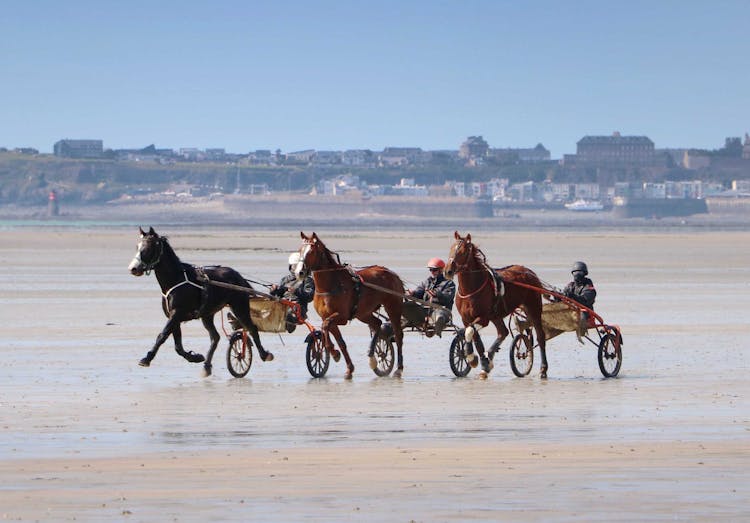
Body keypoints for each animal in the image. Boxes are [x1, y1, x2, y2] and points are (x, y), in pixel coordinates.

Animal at [128, 227, 274, 374]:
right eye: (137, 247)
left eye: (148, 247)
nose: (133, 268)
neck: (176, 280)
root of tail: (239, 276)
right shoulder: (173, 316)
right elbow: (178, 345)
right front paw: (195, 357)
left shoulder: (177, 313)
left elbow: (162, 335)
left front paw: (146, 359)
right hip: (207, 314)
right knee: (215, 337)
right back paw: (207, 366)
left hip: (239, 306)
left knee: (252, 328)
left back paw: (264, 354)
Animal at [294, 231, 406, 378]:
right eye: (300, 250)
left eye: (311, 251)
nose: (299, 272)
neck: (331, 283)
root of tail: (393, 275)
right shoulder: (327, 317)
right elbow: (339, 340)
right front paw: (348, 367)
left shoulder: (341, 317)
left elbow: (326, 326)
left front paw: (334, 353)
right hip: (363, 313)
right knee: (377, 323)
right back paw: (372, 357)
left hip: (393, 306)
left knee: (398, 335)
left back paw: (399, 368)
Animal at [446, 231, 548, 378]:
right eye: (451, 248)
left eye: (463, 252)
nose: (447, 271)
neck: (471, 289)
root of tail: (529, 271)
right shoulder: (467, 318)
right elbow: (473, 337)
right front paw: (481, 362)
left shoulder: (483, 318)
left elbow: (470, 331)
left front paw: (472, 358)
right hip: (496, 315)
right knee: (503, 332)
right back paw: (489, 357)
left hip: (533, 307)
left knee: (540, 337)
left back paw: (543, 369)